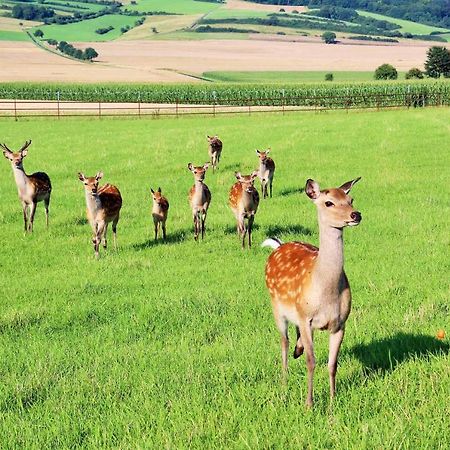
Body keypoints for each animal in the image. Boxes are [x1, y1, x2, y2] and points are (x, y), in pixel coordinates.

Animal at [260, 178, 362, 406]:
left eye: (350, 199)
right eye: (329, 202)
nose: (356, 215)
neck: (326, 292)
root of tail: (277, 246)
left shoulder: (340, 323)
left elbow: (332, 364)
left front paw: (333, 401)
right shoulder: (305, 318)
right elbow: (311, 361)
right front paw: (309, 404)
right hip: (276, 307)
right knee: (284, 341)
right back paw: (284, 381)